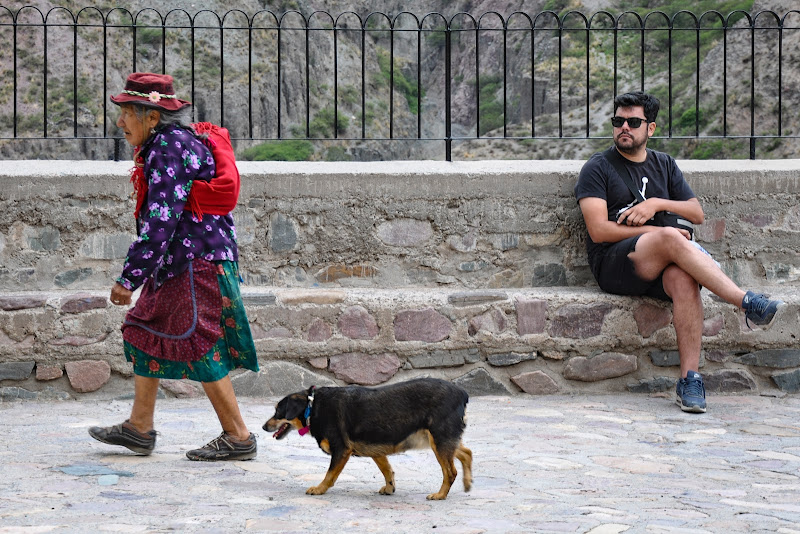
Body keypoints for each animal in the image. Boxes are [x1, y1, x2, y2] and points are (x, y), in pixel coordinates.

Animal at [266, 378, 472, 500]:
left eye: (278, 411)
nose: (263, 427)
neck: (312, 406)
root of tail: (462, 393)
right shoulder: (376, 449)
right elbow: (387, 470)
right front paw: (389, 488)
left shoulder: (341, 450)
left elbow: (329, 475)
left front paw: (319, 489)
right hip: (440, 440)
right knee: (466, 453)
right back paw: (468, 482)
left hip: (438, 440)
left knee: (450, 471)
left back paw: (440, 494)